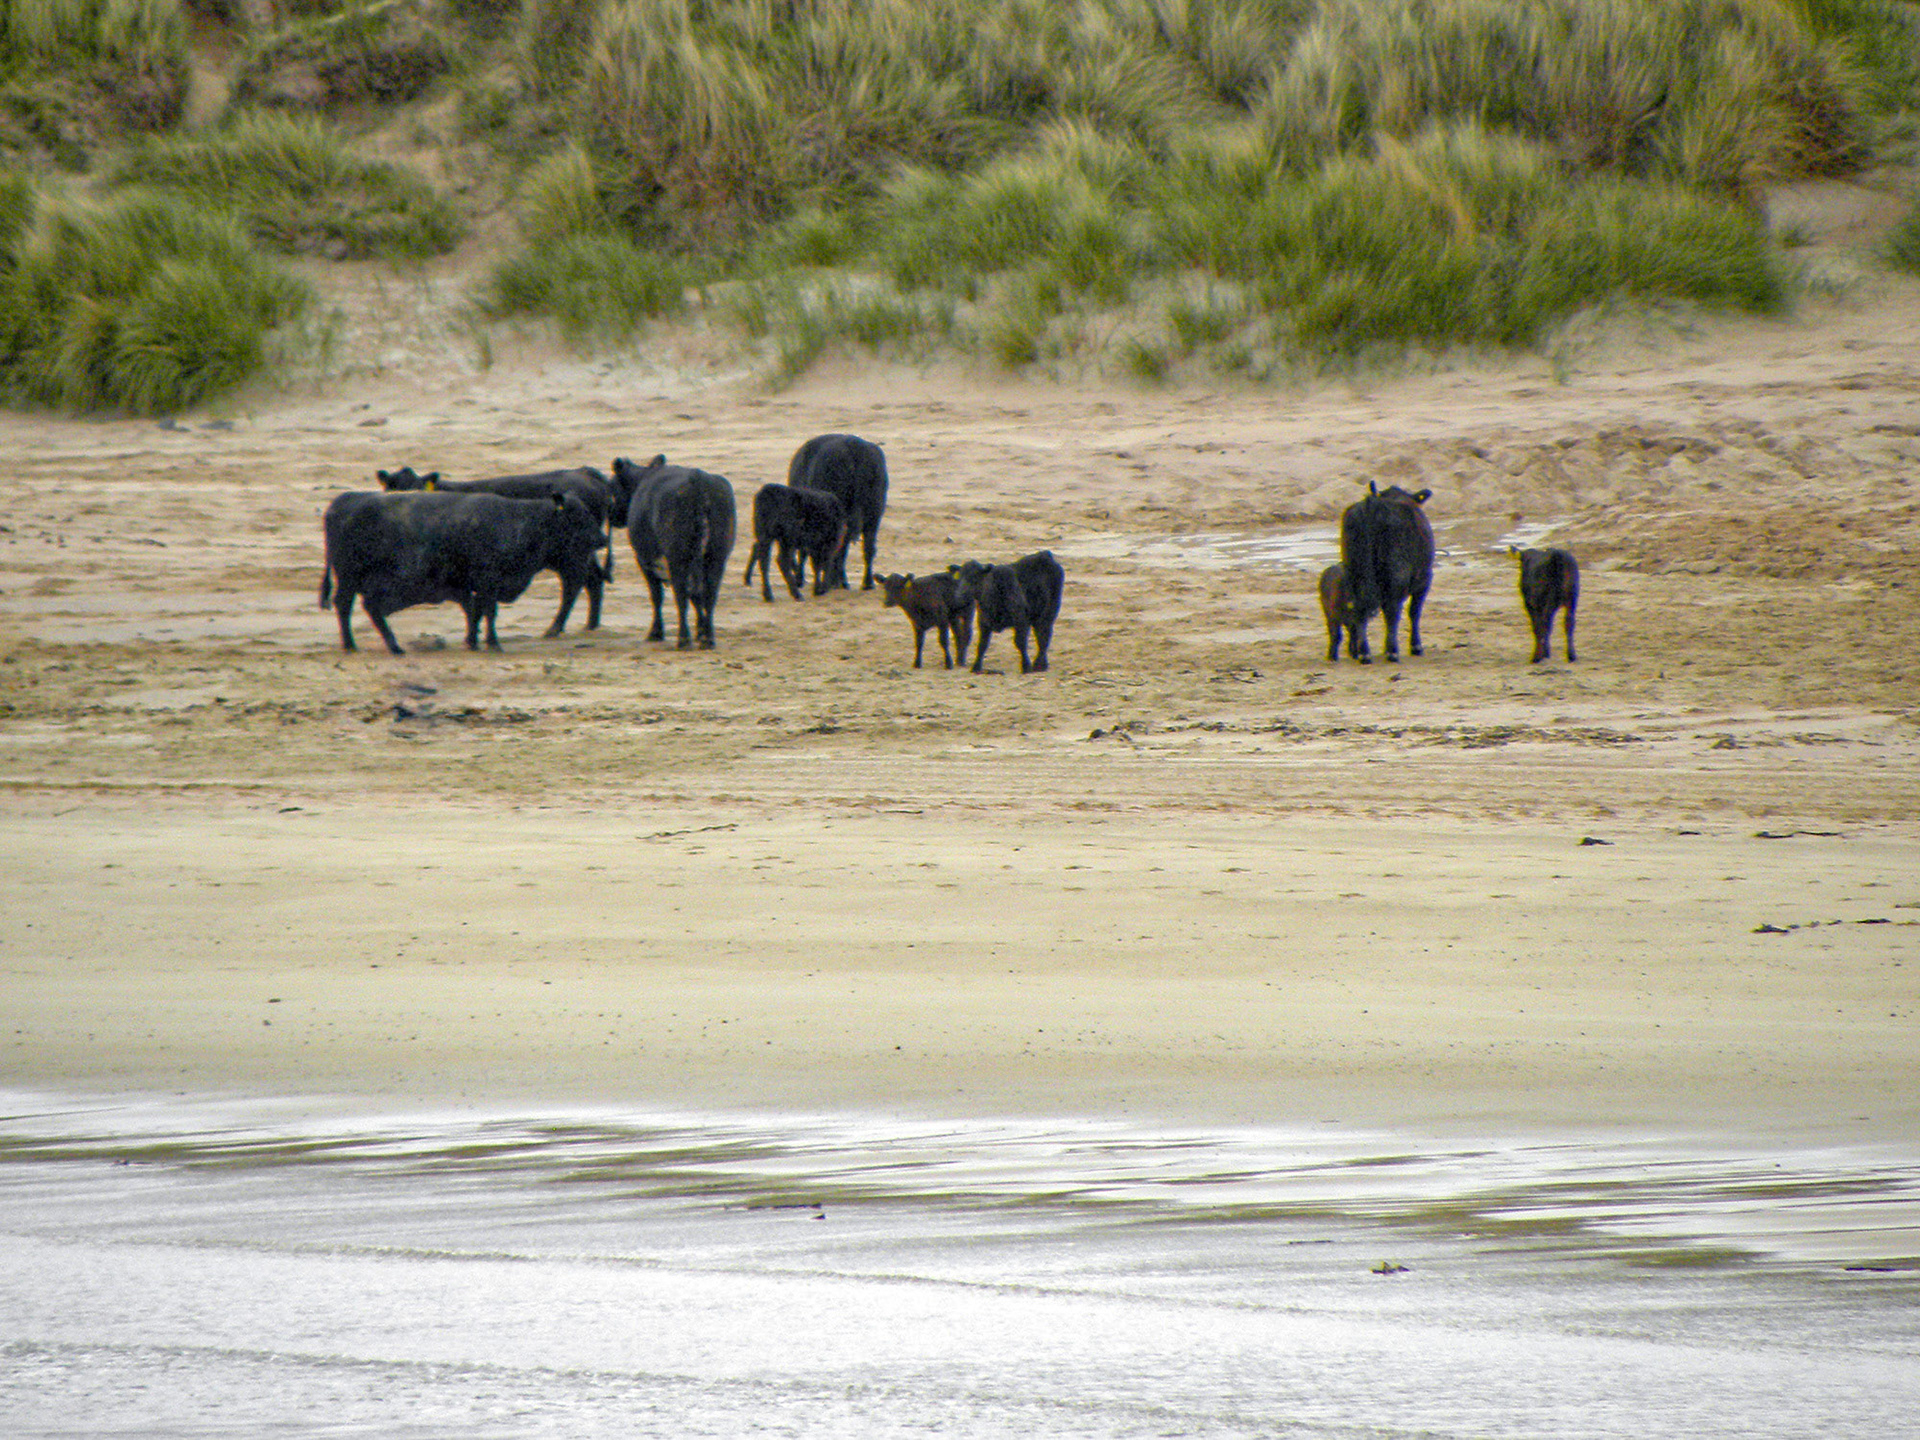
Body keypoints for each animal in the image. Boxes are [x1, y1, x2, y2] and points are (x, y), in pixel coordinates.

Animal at [319, 489, 608, 654]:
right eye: (578, 517)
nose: (602, 539)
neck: (519, 522)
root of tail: (344, 501)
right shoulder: (488, 580)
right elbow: (487, 611)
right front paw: (492, 643)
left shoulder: (476, 585)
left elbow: (475, 610)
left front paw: (473, 640)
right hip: (349, 577)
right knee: (347, 605)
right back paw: (356, 645)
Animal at [376, 464, 620, 636]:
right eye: (390, 488)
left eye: (415, 487)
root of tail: (585, 473)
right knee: (593, 580)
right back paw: (590, 625)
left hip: (572, 555)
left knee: (574, 583)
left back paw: (555, 628)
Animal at [614, 454, 736, 649]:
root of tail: (698, 478)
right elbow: (697, 597)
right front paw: (700, 631)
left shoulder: (644, 560)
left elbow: (656, 596)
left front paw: (655, 632)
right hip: (717, 556)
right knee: (709, 594)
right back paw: (707, 638)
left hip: (677, 558)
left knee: (681, 593)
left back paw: (683, 639)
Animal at [1337, 482, 1434, 663]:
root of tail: (1372, 503)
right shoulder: (1424, 580)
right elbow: (1414, 612)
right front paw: (1416, 646)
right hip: (1397, 574)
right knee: (1392, 611)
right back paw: (1391, 652)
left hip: (1353, 572)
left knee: (1359, 607)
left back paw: (1364, 653)